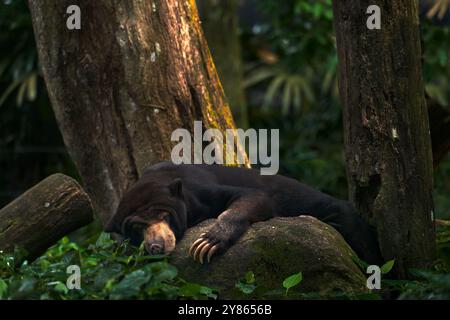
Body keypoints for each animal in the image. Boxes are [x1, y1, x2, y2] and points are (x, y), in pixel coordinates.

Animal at [106, 162, 384, 264]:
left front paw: (206, 244)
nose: (156, 246)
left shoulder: (201, 189)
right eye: (137, 227)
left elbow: (252, 197)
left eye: (164, 217)